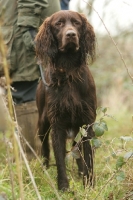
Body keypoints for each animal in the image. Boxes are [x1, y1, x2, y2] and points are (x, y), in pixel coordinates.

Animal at [35, 9, 96, 191]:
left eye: (76, 23)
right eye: (58, 24)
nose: (71, 34)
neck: (68, 72)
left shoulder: (87, 123)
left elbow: (87, 157)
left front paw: (89, 184)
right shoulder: (57, 124)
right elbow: (59, 159)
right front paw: (63, 187)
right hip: (42, 124)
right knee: (45, 149)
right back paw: (45, 170)